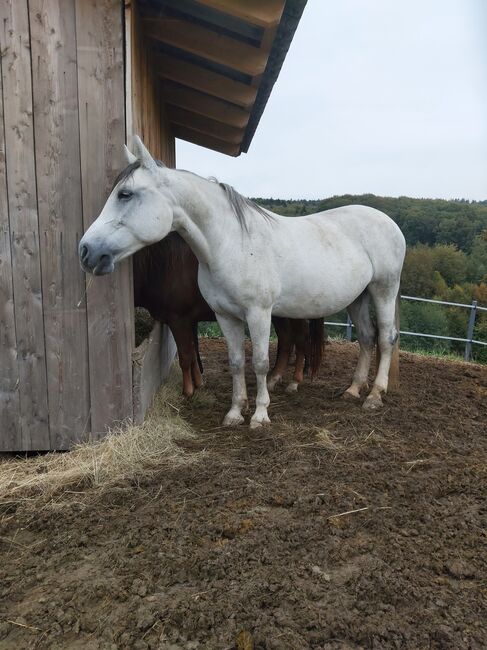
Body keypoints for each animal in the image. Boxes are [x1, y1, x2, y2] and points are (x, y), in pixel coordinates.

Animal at [134, 233, 324, 394]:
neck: (162, 267)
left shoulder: (179, 320)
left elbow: (186, 356)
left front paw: (188, 391)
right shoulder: (189, 321)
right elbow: (193, 352)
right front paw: (199, 383)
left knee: (301, 340)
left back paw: (294, 381)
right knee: (286, 340)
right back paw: (274, 378)